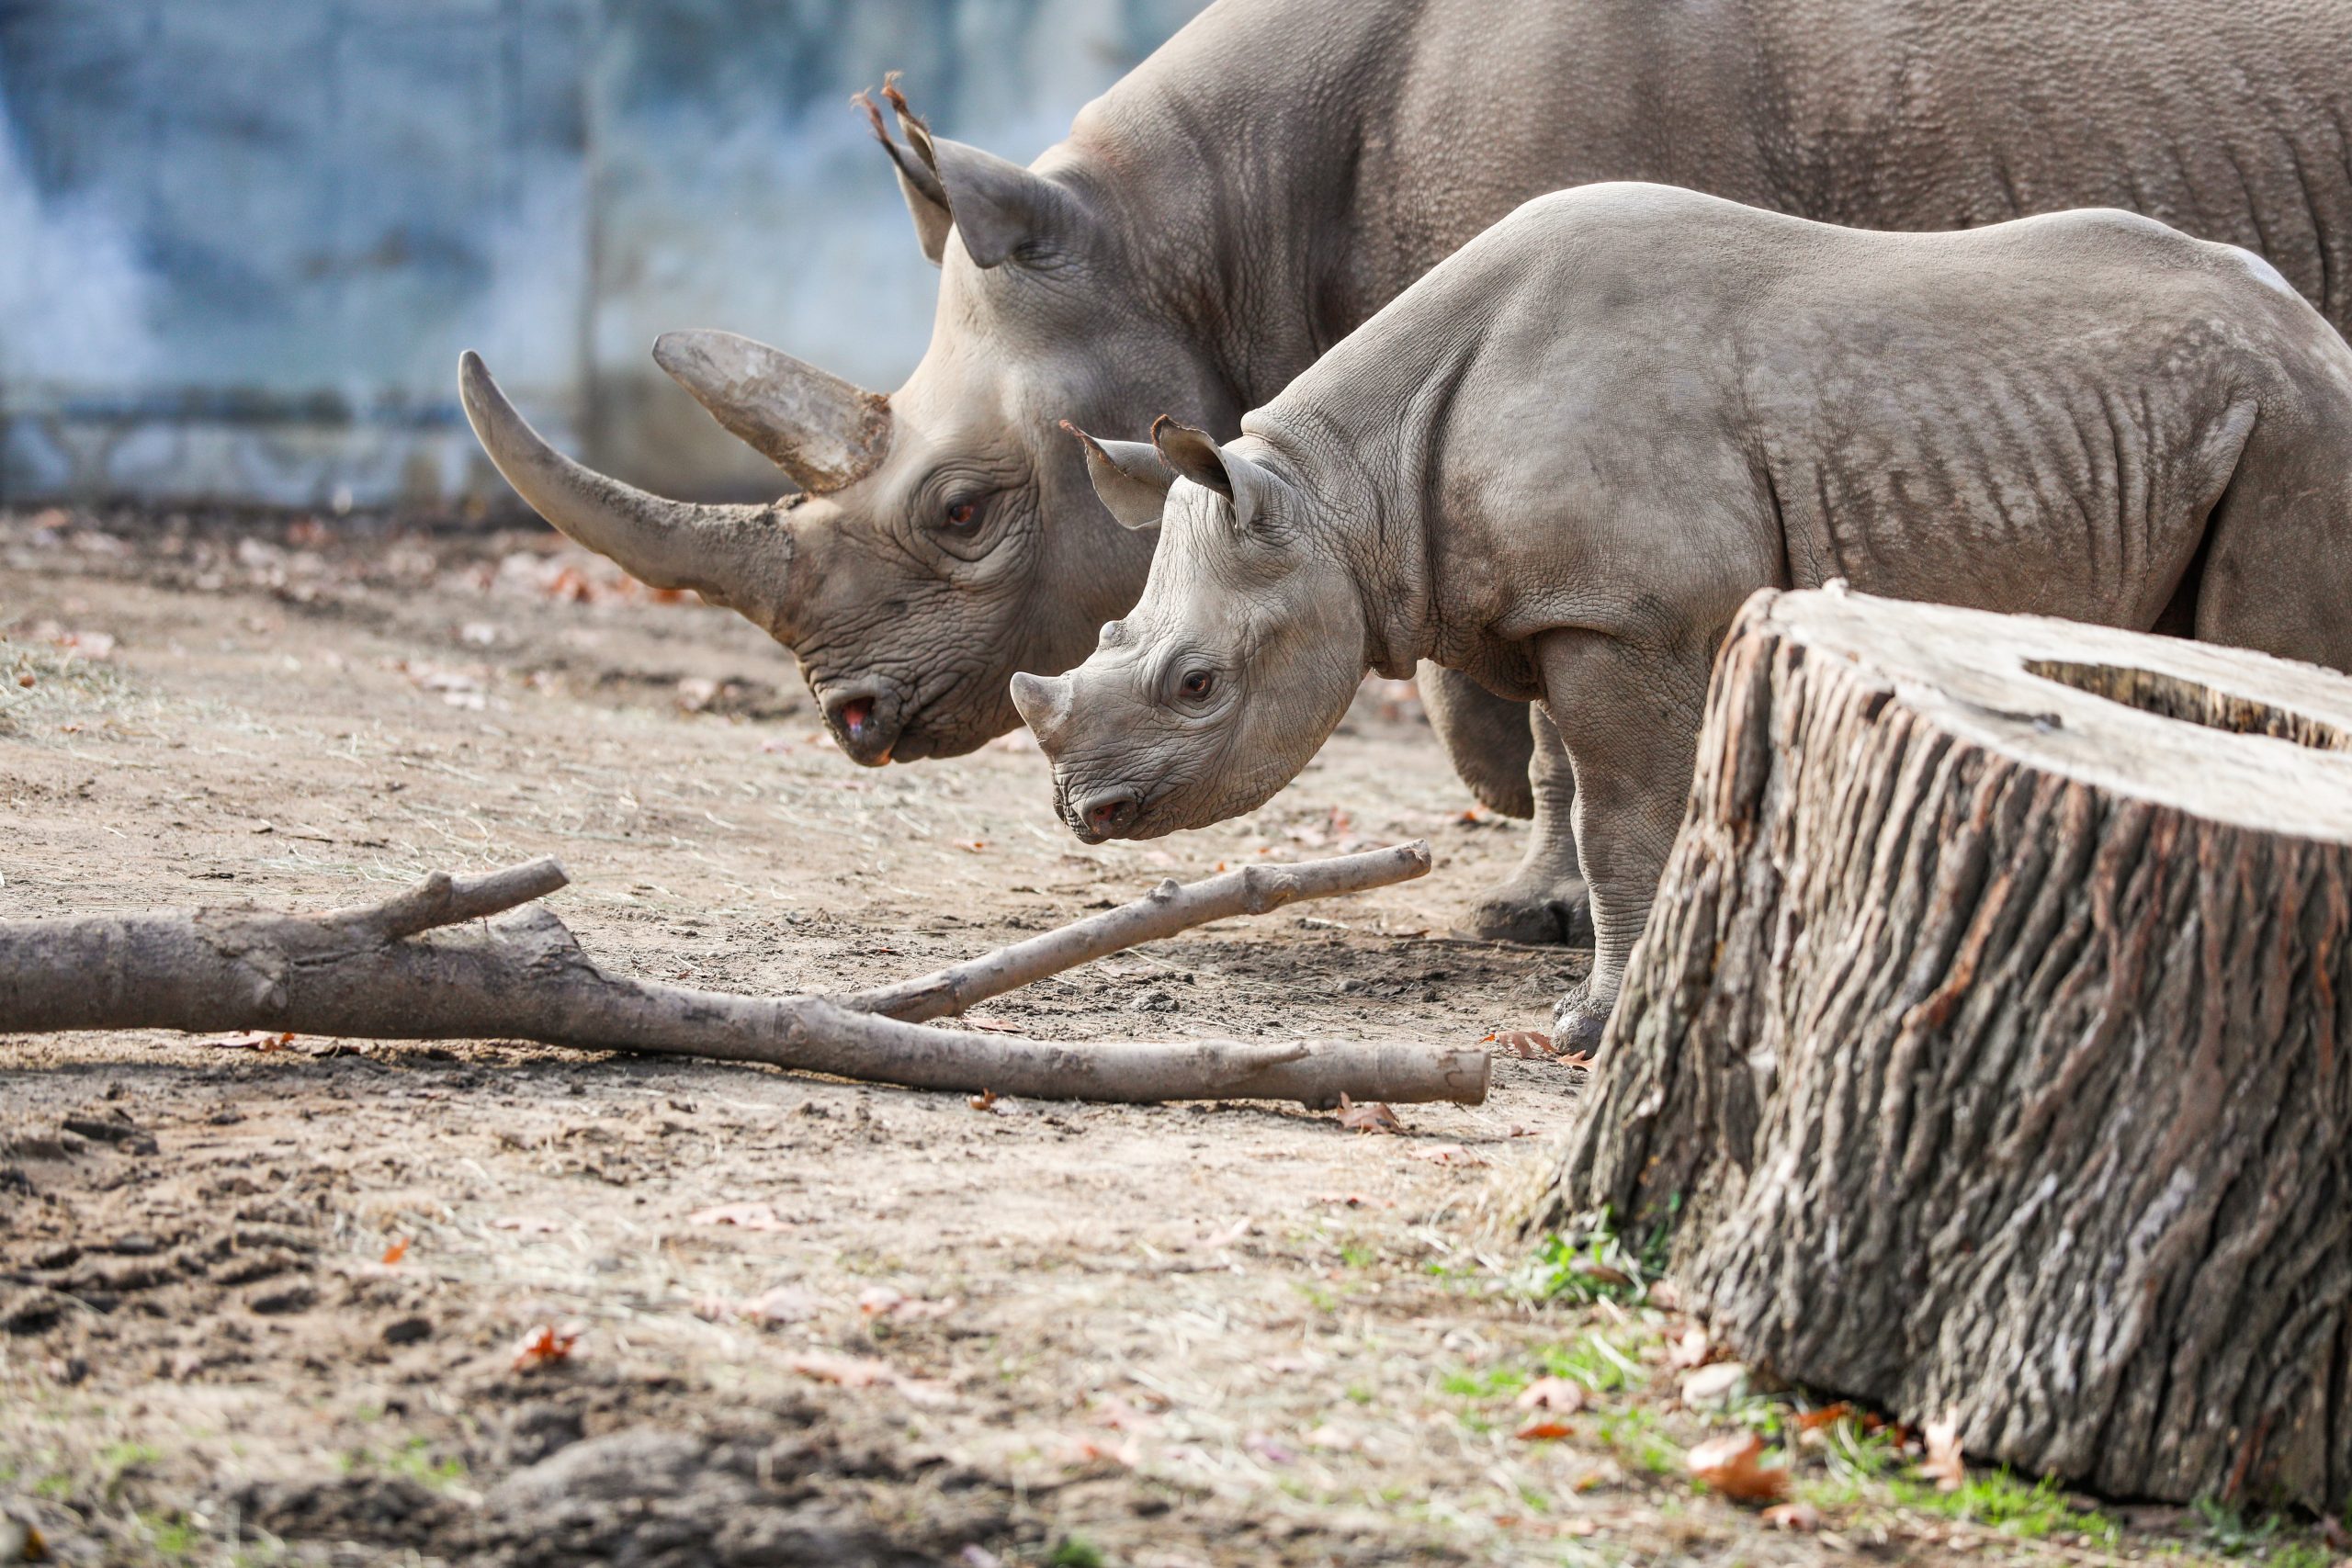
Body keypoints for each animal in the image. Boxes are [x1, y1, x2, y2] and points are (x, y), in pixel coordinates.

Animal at [454, 0, 2352, 944]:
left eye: (968, 509)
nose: (848, 718)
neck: (1204, 231)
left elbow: (1539, 712)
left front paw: (1541, 903)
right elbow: (1498, 685)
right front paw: (1540, 899)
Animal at [1021, 181, 2352, 1043]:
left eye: (1196, 683)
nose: (1082, 811)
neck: (1342, 490)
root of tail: (2321, 334)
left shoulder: (1627, 618)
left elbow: (1623, 817)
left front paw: (1587, 1029)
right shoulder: (1564, 611)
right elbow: (1574, 785)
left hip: (2297, 425)